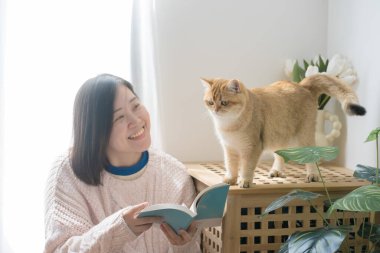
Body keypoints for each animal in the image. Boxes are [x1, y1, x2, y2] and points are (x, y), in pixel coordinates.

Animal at [202, 74, 366, 187]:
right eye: (210, 102)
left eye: (224, 102)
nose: (215, 110)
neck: (229, 125)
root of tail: (302, 85)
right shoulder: (229, 148)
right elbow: (231, 166)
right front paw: (230, 179)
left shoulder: (252, 147)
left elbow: (247, 167)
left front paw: (245, 181)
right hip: (277, 135)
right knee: (280, 155)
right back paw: (277, 171)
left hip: (304, 136)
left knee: (311, 157)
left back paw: (312, 175)